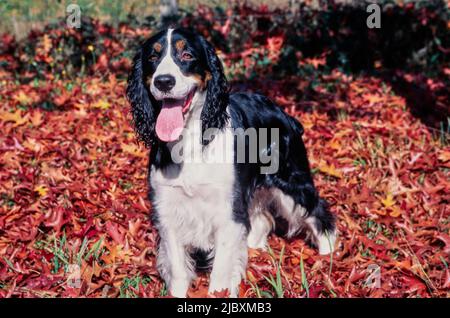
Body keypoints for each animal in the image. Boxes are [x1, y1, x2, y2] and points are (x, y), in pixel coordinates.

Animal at [125, 28, 334, 298]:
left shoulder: (227, 211)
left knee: (317, 210)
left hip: (291, 181)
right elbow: (178, 268)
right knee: (261, 219)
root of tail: (284, 113)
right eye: (153, 56)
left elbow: (221, 271)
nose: (163, 81)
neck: (190, 141)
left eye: (187, 55)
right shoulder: (168, 207)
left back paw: (329, 257)